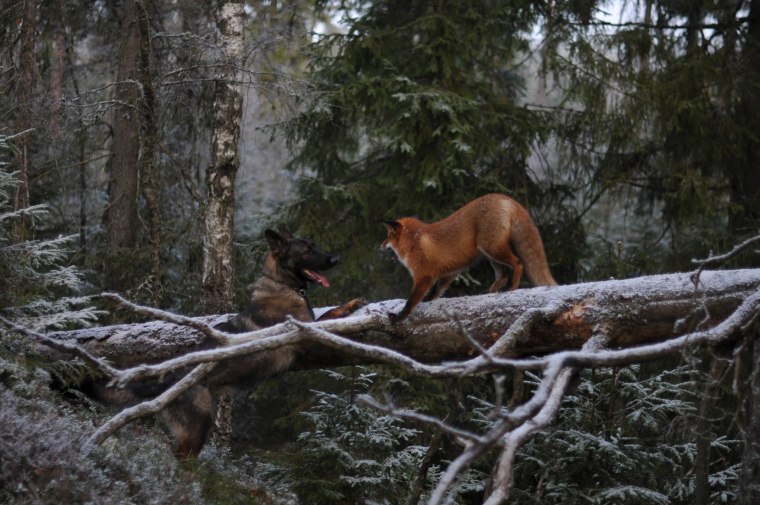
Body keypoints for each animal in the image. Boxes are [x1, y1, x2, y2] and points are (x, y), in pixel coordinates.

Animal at [119, 228, 368, 456]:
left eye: (313, 246)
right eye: (307, 251)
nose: (336, 259)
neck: (281, 283)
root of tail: (166, 383)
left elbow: (330, 313)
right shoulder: (305, 333)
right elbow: (329, 321)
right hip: (197, 427)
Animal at [382, 193, 556, 318]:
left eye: (387, 236)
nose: (380, 246)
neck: (414, 241)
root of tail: (504, 197)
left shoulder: (423, 276)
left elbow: (411, 301)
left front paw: (399, 317)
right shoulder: (448, 273)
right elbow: (436, 292)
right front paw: (428, 300)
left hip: (492, 249)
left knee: (518, 263)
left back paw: (512, 287)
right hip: (491, 255)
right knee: (502, 276)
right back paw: (488, 292)